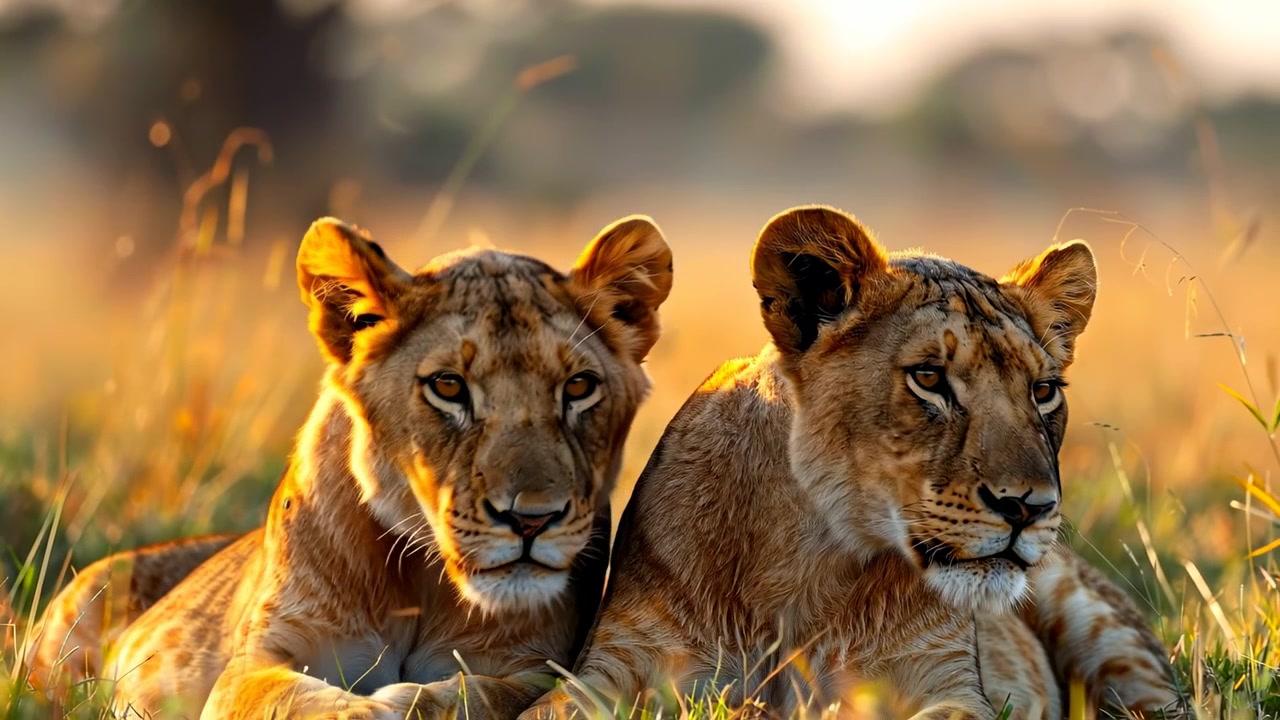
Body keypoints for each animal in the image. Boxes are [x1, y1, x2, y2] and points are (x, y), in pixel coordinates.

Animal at [25, 213, 673, 719]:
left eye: (579, 387)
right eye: (448, 386)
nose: (532, 521)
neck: (422, 580)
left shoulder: (534, 664)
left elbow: (473, 696)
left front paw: (405, 701)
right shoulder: (255, 662)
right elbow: (292, 700)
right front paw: (368, 706)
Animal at [521, 206, 1180, 719]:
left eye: (1043, 391)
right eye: (929, 378)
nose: (1029, 508)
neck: (810, 563)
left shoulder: (946, 680)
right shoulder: (618, 664)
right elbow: (545, 709)